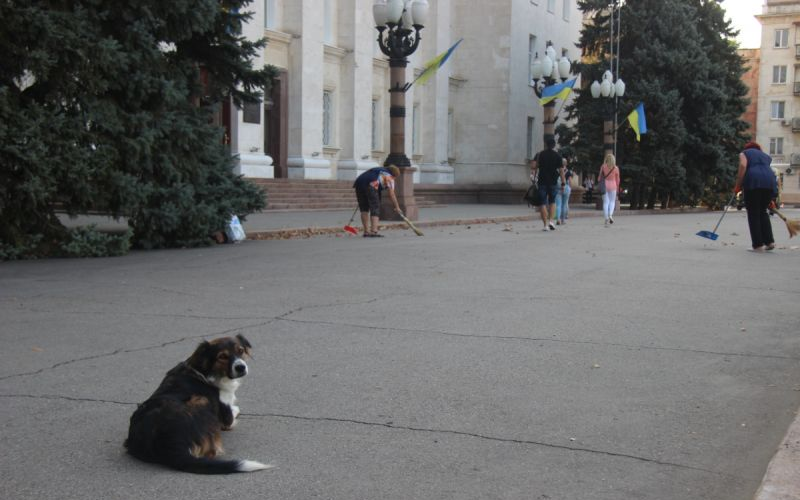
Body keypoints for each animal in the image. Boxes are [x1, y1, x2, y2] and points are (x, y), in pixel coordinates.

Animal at [124, 336, 272, 472]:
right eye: (222, 356)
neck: (205, 371)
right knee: (212, 452)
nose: (241, 367)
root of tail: (169, 446)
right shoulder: (226, 418)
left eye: (240, 351)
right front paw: (236, 408)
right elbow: (234, 411)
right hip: (201, 400)